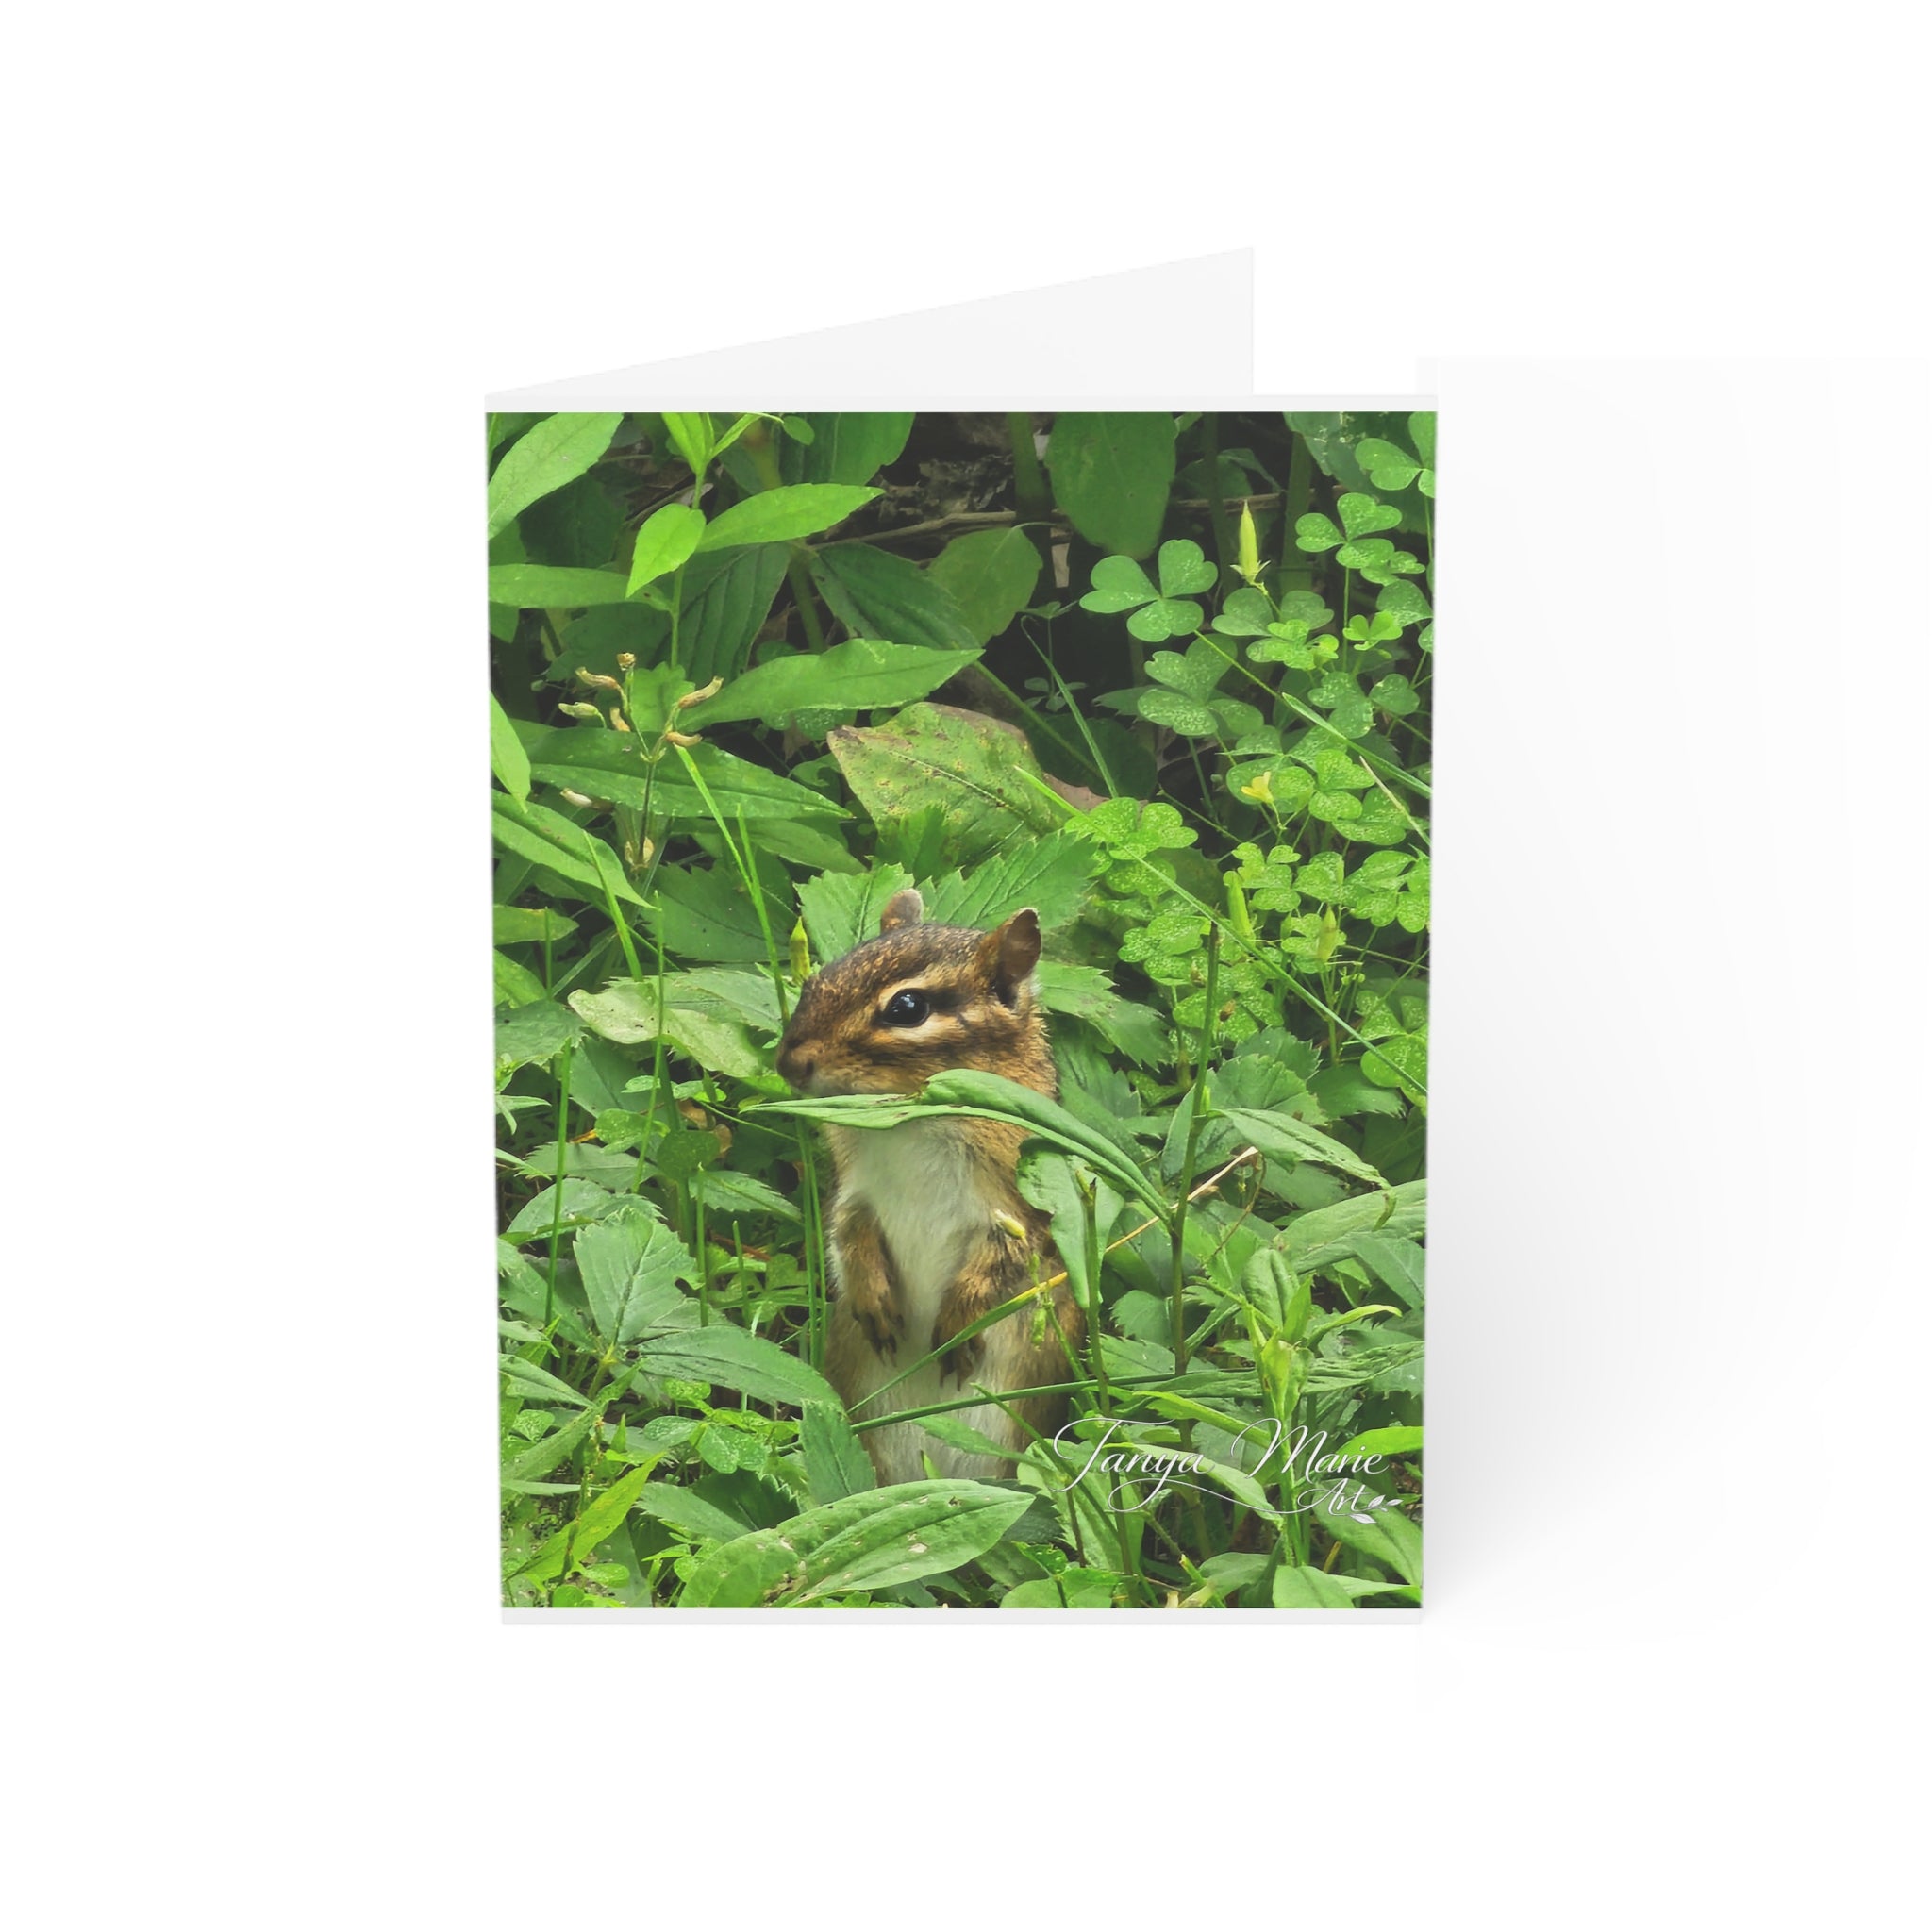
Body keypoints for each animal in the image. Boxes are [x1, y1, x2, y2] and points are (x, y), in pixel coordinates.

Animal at [775, 888, 1083, 1485]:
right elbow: (847, 1233)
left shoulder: (1018, 1207)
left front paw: (958, 1324)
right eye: (813, 981)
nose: (789, 1063)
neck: (909, 1123)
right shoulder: (854, 1190)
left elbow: (1002, 1262)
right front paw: (872, 1297)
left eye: (907, 1008)